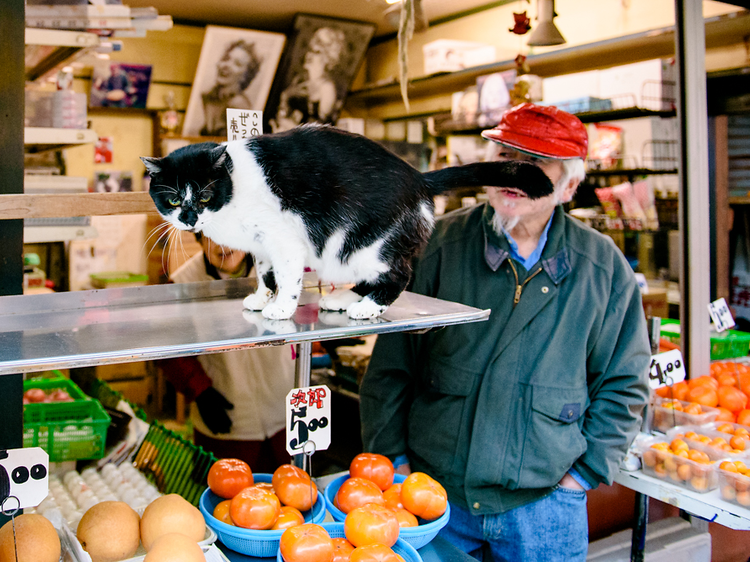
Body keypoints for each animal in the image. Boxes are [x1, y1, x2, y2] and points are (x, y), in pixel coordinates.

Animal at [142, 126, 552, 320]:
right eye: (174, 199)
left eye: (204, 196)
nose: (190, 218)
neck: (234, 188)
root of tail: (420, 177)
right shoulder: (261, 247)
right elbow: (264, 273)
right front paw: (261, 298)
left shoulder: (284, 239)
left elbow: (287, 278)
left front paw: (281, 308)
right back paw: (343, 299)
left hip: (365, 244)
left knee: (399, 275)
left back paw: (366, 308)